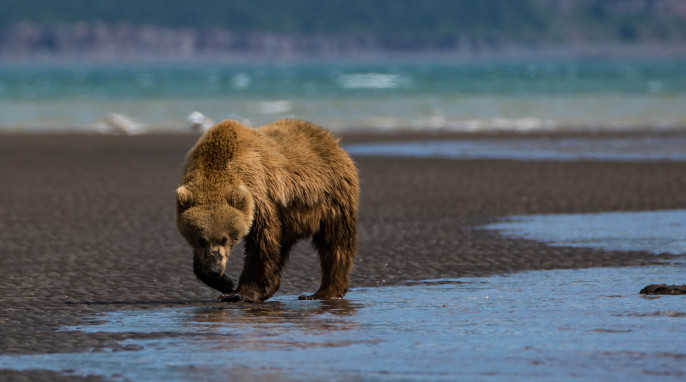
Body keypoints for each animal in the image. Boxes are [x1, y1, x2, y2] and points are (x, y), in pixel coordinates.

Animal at [177, 118, 360, 302]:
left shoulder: (261, 196)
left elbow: (261, 242)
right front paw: (225, 283)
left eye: (225, 239)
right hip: (291, 217)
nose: (214, 270)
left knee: (335, 244)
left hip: (332, 197)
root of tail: (330, 138)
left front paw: (241, 292)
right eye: (201, 239)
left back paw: (324, 292)